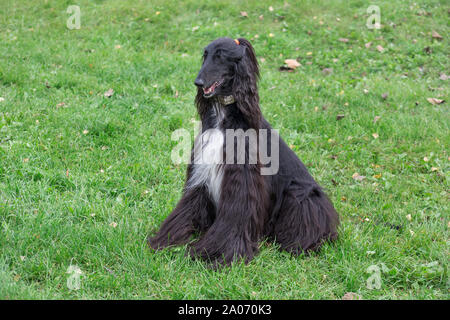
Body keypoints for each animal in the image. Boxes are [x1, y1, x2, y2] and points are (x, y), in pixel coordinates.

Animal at [149, 37, 340, 264]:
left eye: (221, 56)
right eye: (205, 55)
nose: (198, 82)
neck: (224, 118)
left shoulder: (241, 180)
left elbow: (233, 217)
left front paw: (214, 253)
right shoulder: (202, 172)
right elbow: (188, 208)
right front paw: (165, 240)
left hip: (301, 195)